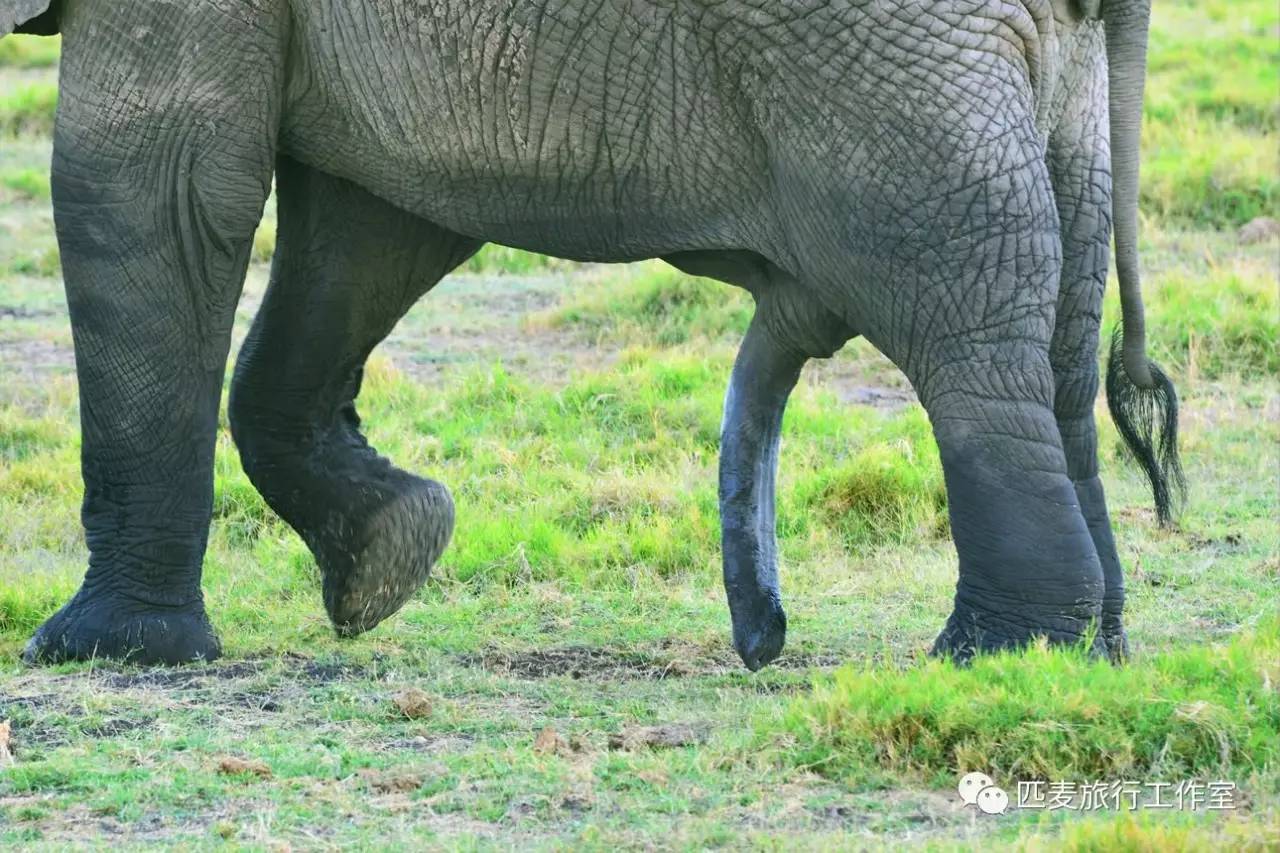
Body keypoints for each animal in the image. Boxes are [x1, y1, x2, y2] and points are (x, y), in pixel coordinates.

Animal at [5, 0, 1177, 666]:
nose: (764, 643)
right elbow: (362, 228)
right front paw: (388, 560)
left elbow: (154, 191)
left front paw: (106, 653)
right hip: (1052, 88)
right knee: (1057, 352)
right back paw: (1092, 656)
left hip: (886, 69)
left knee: (960, 336)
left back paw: (995, 657)